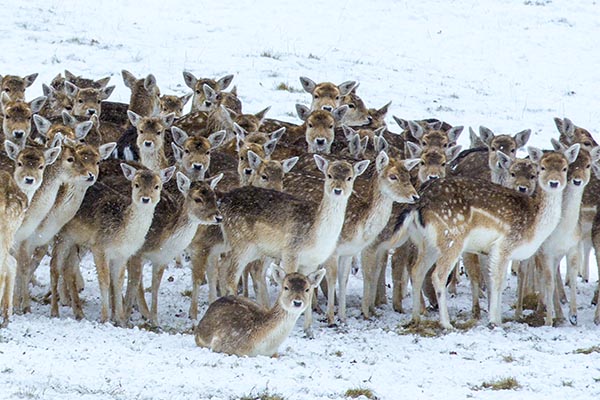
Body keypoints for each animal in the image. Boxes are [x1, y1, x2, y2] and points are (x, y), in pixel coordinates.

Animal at [53, 162, 176, 324]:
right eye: (136, 184)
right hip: (62, 235)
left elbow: (119, 282)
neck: (122, 234)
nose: (145, 199)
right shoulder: (99, 247)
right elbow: (105, 280)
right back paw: (56, 311)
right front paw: (105, 318)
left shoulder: (123, 254)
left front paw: (121, 320)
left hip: (78, 241)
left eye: (157, 186)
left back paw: (79, 313)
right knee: (54, 266)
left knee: (68, 268)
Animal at [394, 144, 580, 328]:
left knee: (417, 270)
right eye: (542, 168)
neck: (535, 223)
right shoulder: (504, 245)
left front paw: (497, 318)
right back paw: (446, 323)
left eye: (564, 168)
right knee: (437, 275)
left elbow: (498, 280)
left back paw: (415, 318)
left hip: (427, 242)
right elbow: (497, 281)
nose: (554, 183)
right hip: (452, 238)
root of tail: (419, 201)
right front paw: (494, 321)